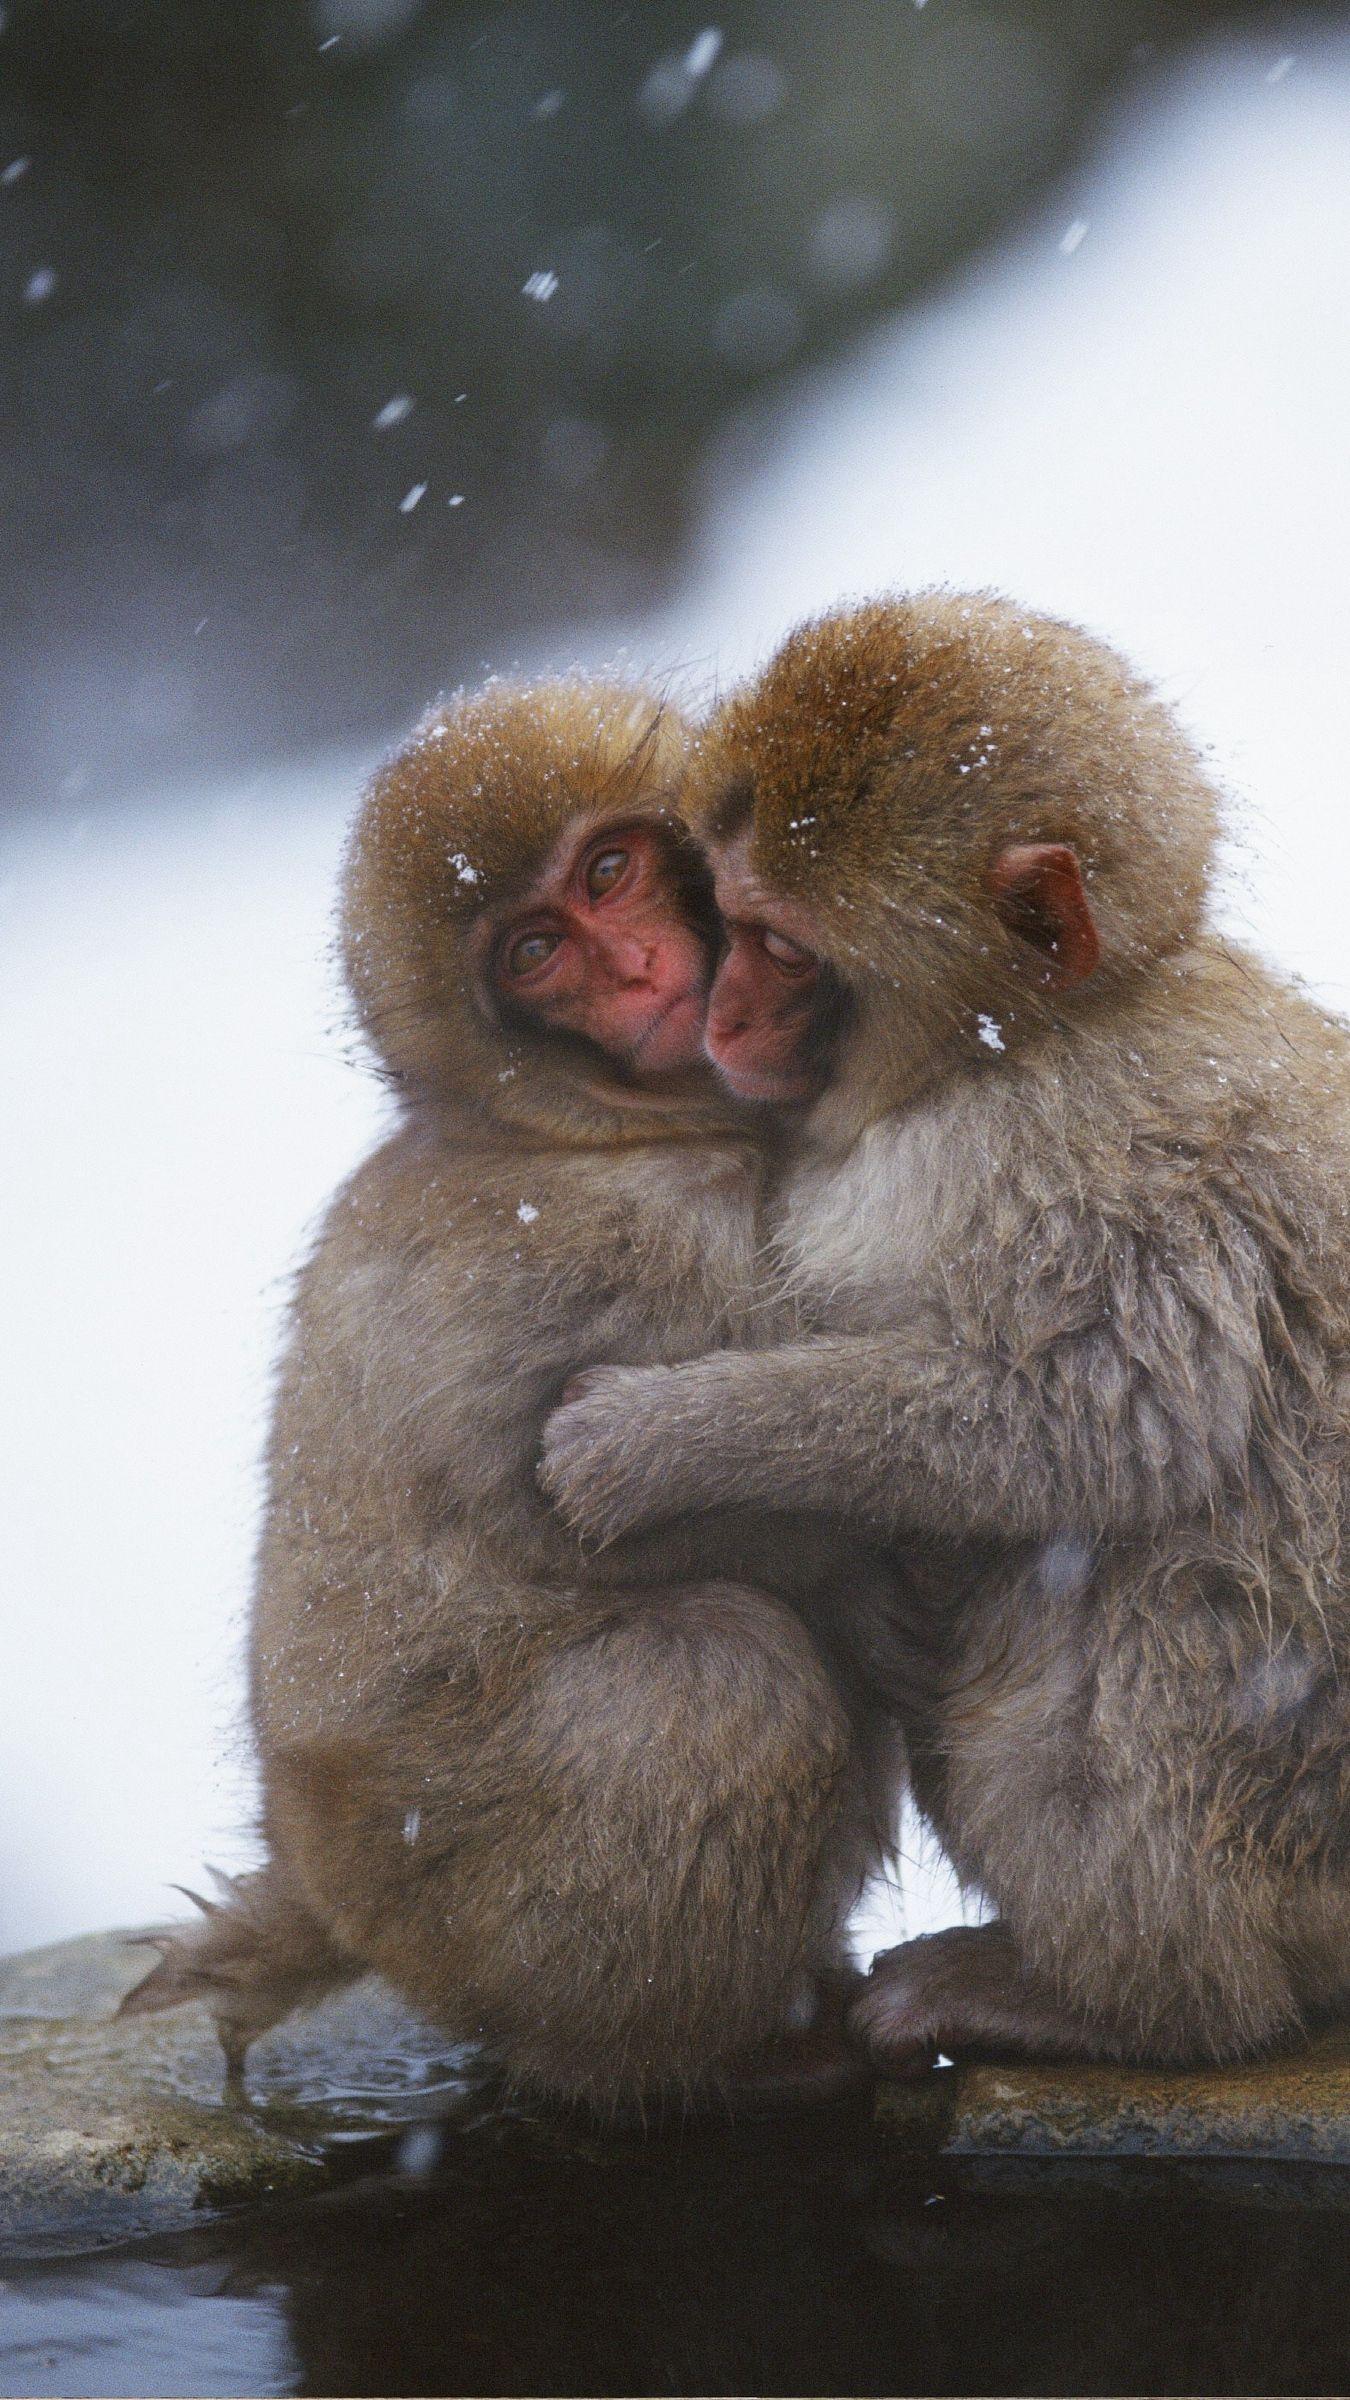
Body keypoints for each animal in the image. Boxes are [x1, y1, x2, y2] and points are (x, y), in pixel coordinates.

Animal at [122, 673, 901, 2107]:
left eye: (608, 873)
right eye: (537, 952)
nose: (640, 971)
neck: (576, 1127)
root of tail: (320, 1880)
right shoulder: (623, 1238)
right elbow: (607, 1501)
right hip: (469, 1889)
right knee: (722, 1682)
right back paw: (706, 2055)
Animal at [540, 592, 1350, 2074]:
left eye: (783, 947)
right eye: (722, 914)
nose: (721, 1010)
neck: (1013, 1045)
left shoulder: (1092, 1163)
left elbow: (1095, 1422)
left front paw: (656, 1442)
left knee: (1154, 1594)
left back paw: (1134, 2000)